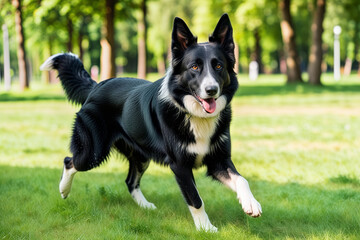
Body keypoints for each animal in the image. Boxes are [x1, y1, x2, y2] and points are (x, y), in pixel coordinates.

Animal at [40, 14, 262, 232]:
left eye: (218, 66)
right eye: (194, 67)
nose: (211, 90)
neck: (193, 114)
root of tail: (97, 86)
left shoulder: (218, 160)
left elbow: (241, 179)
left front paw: (250, 203)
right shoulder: (180, 166)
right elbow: (195, 199)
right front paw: (206, 228)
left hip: (140, 155)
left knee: (130, 182)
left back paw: (145, 206)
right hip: (93, 152)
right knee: (70, 161)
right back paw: (63, 189)